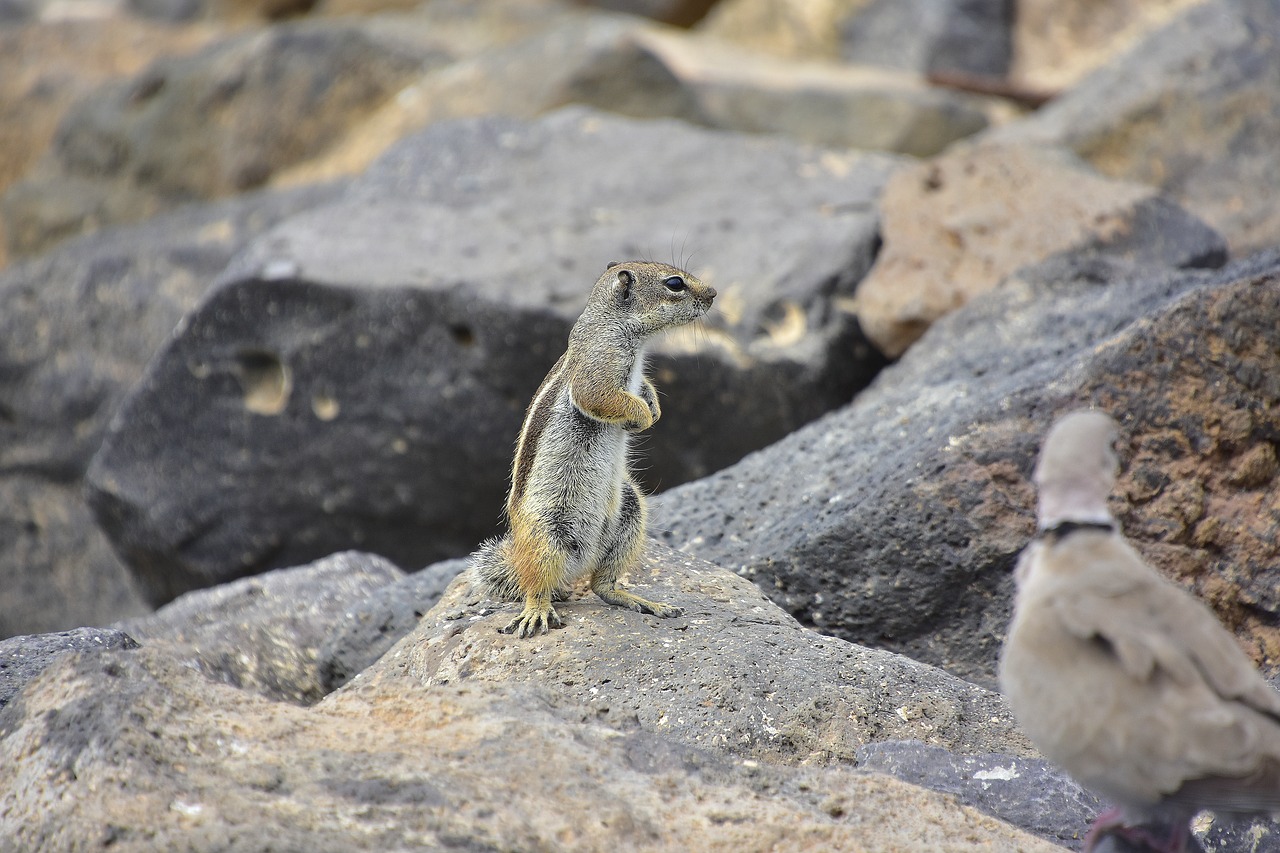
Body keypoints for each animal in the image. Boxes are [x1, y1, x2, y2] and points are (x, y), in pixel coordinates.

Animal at [465, 258, 716, 637]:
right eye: (675, 283)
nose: (713, 293)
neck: (611, 322)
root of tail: (574, 569)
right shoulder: (600, 364)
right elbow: (599, 396)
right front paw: (643, 417)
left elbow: (644, 387)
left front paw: (653, 407)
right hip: (545, 534)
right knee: (535, 584)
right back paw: (536, 611)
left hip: (630, 513)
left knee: (602, 585)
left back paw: (640, 600)